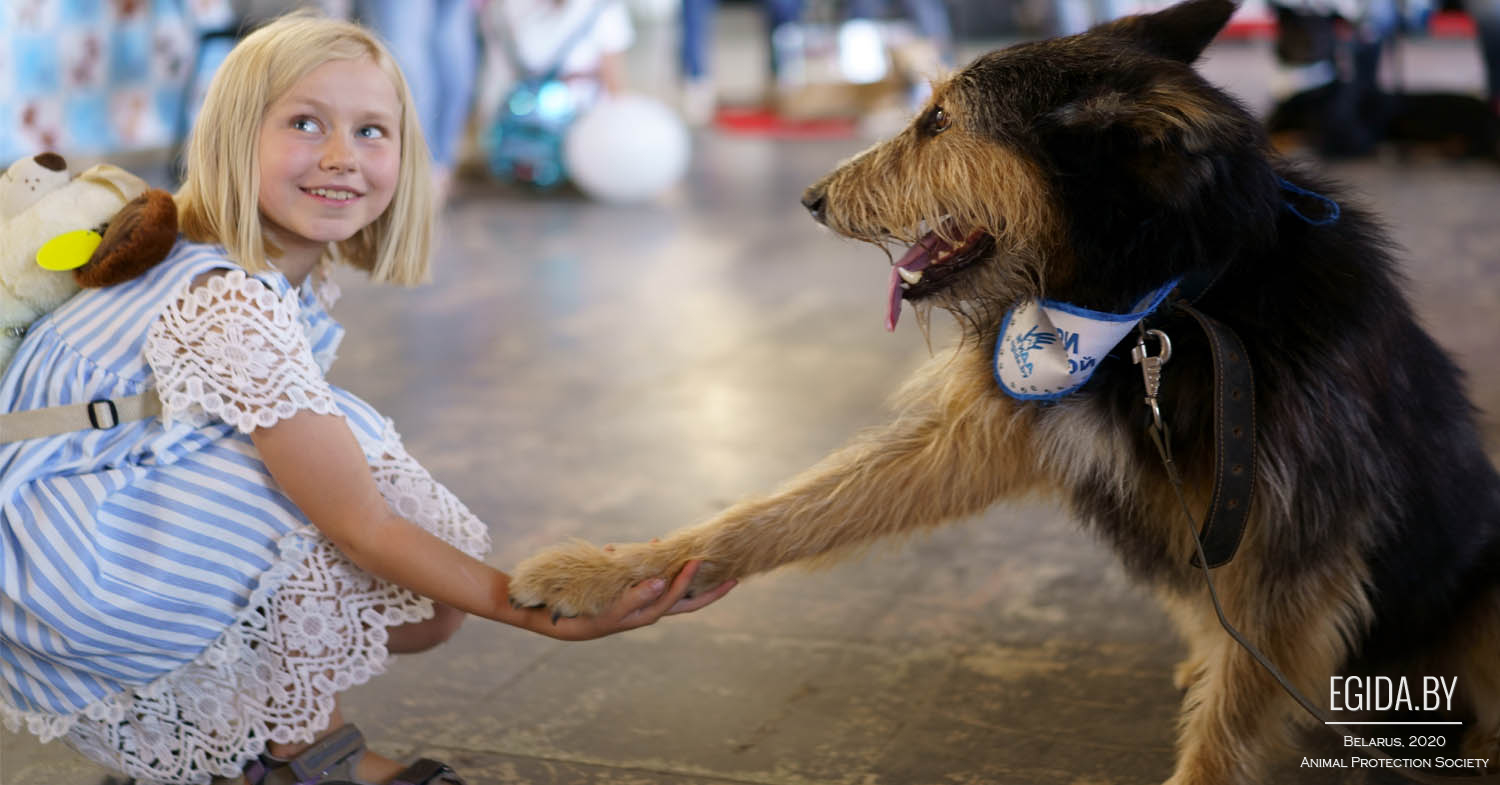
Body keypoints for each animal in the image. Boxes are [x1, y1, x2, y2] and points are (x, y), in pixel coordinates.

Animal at [510, 3, 1500, 780]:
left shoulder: (1298, 557)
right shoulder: (980, 431)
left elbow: (1224, 741)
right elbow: (782, 511)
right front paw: (613, 572)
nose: (811, 197)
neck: (1165, 306)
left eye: (941, 121)